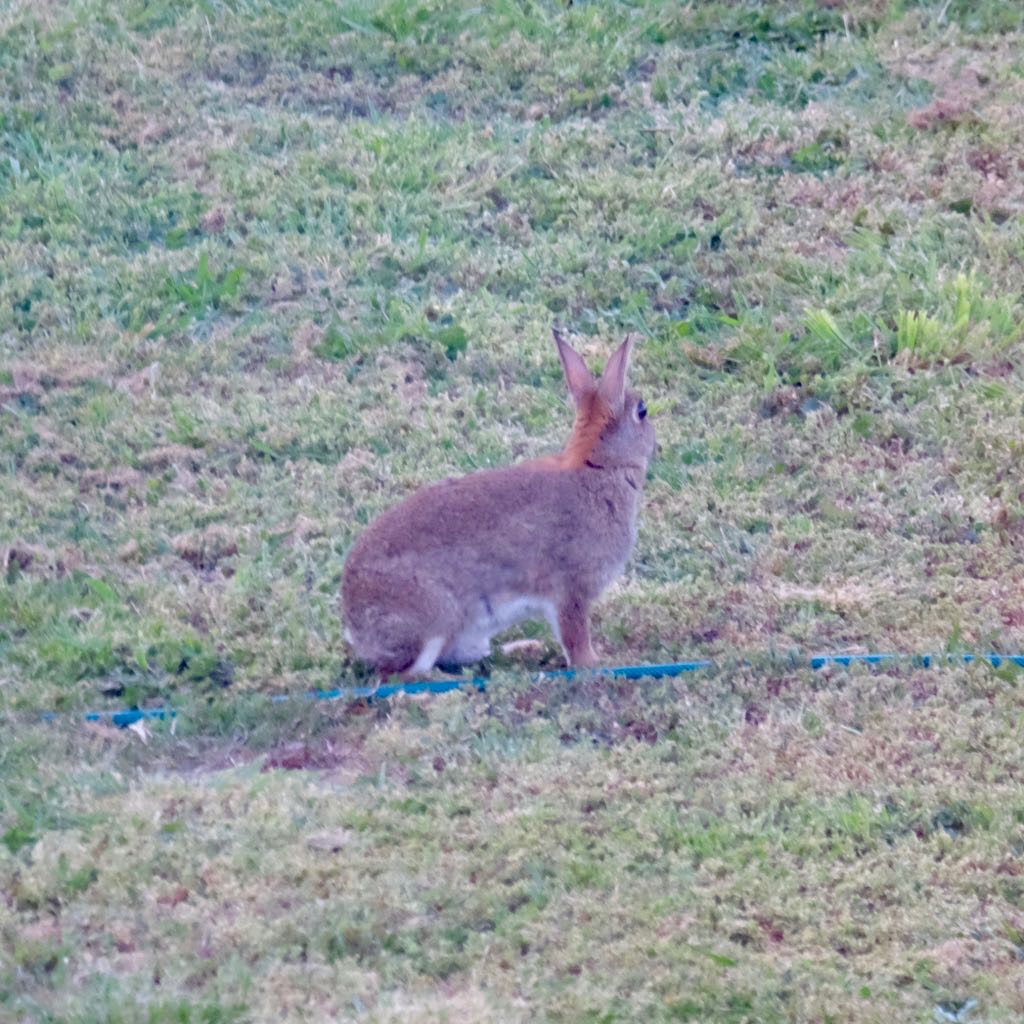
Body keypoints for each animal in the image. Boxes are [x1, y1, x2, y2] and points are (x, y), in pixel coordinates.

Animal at [341, 330, 656, 677]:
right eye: (642, 411)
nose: (654, 440)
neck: (598, 465)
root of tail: (354, 626)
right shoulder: (570, 589)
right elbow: (575, 638)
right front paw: (595, 665)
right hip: (434, 619)